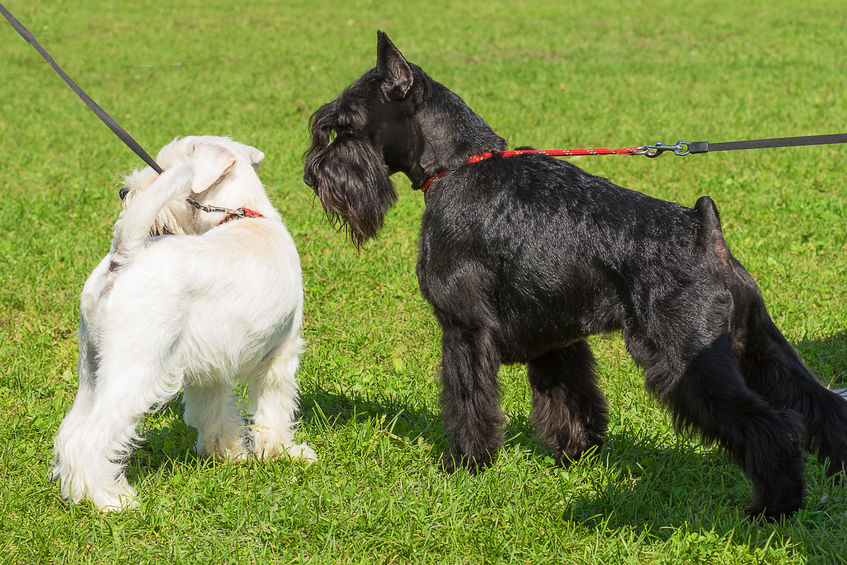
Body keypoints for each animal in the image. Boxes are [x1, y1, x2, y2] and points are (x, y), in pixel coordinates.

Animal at [53, 134, 318, 508]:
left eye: (161, 168)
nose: (123, 192)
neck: (242, 216)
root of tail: (124, 257)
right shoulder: (281, 355)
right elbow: (274, 411)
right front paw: (283, 452)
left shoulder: (210, 363)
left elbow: (213, 412)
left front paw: (228, 453)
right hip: (134, 369)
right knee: (88, 438)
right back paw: (112, 500)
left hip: (92, 368)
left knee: (69, 432)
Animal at [306, 29, 847, 516]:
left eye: (346, 125)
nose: (313, 175)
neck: (456, 164)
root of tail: (704, 227)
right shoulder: (555, 335)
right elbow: (570, 397)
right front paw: (575, 453)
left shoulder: (464, 329)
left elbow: (468, 400)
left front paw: (463, 464)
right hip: (758, 346)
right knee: (819, 406)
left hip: (690, 360)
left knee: (771, 426)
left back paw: (774, 506)